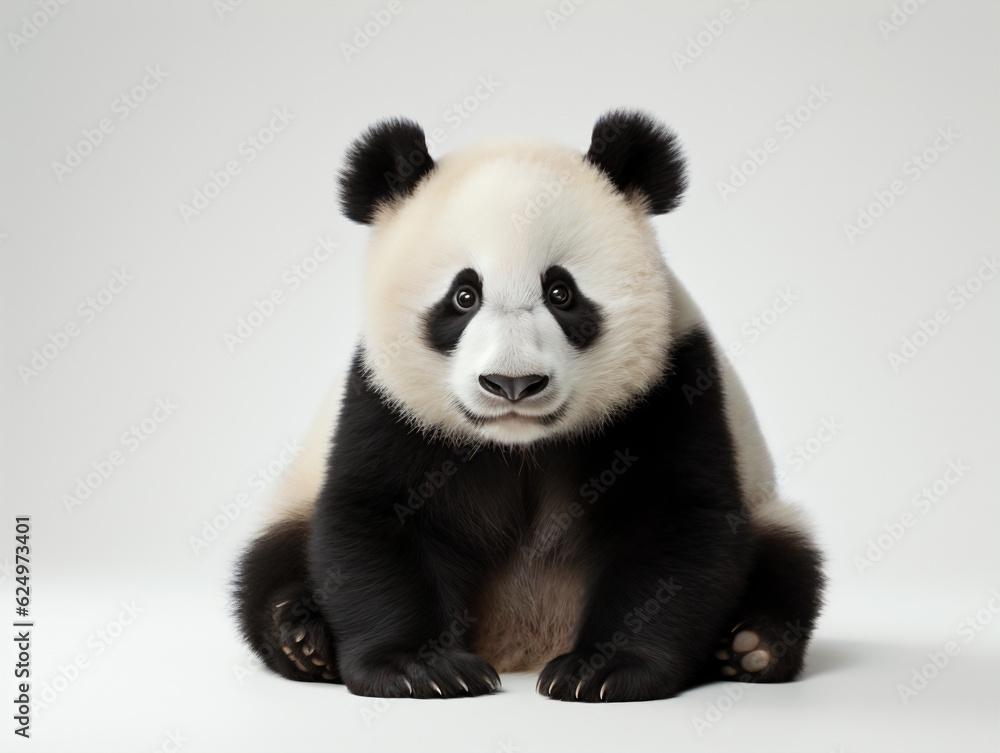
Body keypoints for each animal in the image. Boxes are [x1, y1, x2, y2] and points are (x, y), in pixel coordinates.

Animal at [232, 109, 824, 702]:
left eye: (561, 293)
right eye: (463, 296)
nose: (512, 383)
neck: (519, 446)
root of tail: (518, 642)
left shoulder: (672, 383)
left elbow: (675, 525)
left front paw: (601, 669)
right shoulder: (385, 403)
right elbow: (376, 517)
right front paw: (421, 668)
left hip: (767, 507)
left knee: (790, 560)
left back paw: (753, 645)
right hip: (291, 501)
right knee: (267, 560)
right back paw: (301, 639)